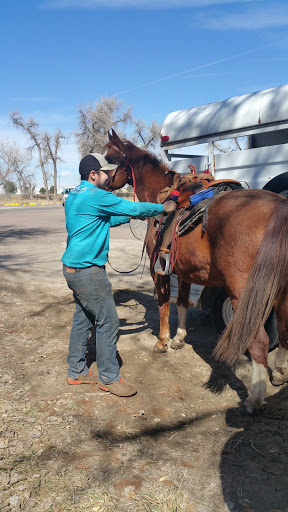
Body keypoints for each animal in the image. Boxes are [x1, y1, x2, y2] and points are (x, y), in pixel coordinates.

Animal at [104, 130, 288, 414]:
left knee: (258, 340)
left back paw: (254, 398)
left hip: (245, 292)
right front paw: (179, 338)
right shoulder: (185, 271)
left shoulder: (160, 271)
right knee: (286, 329)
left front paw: (163, 342)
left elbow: (163, 305)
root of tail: (280, 207)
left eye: (110, 158)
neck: (162, 197)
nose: (102, 184)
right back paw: (279, 372)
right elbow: (181, 303)